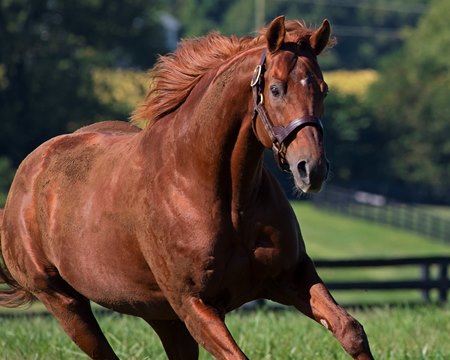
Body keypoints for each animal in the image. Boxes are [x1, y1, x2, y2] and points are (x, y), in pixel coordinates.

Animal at [0, 16, 372, 358]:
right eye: (276, 89)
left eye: (323, 89)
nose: (312, 169)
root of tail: (27, 175)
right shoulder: (194, 304)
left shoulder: (293, 276)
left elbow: (351, 331)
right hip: (65, 302)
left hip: (161, 316)